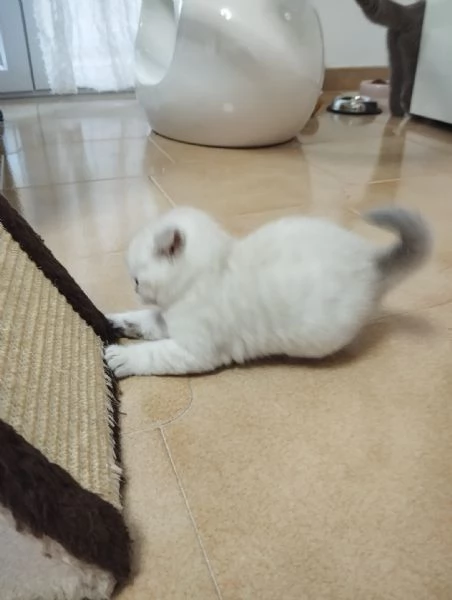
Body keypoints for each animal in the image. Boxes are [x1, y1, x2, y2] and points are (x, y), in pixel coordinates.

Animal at [105, 207, 431, 378]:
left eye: (136, 281)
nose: (135, 292)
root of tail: (372, 261)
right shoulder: (167, 318)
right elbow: (145, 321)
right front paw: (118, 322)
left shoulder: (194, 350)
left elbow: (152, 353)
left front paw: (122, 358)